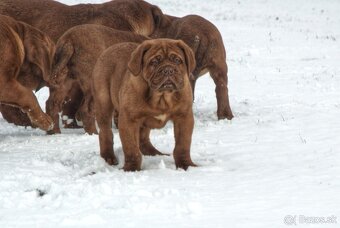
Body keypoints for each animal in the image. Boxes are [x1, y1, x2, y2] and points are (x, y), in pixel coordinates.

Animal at [92, 39, 197, 171]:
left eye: (178, 60)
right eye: (154, 62)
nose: (168, 69)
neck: (162, 97)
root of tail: (110, 48)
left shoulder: (183, 117)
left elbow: (182, 145)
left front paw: (186, 165)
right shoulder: (129, 120)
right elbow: (131, 148)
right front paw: (131, 168)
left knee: (143, 138)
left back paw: (154, 153)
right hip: (103, 103)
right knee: (105, 132)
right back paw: (108, 157)